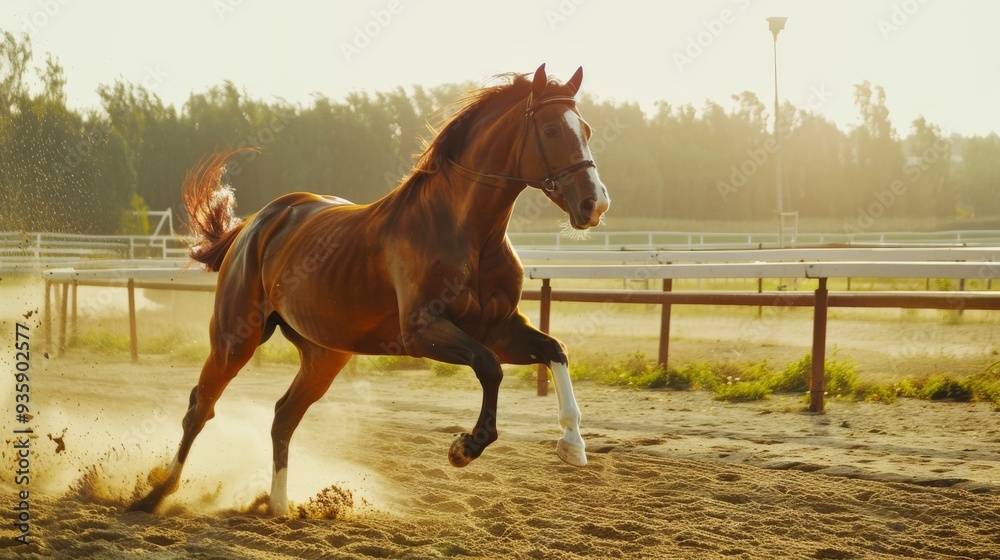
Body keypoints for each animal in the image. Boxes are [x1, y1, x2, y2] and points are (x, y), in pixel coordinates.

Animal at [129, 64, 610, 515]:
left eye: (586, 130)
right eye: (551, 130)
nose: (595, 204)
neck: (465, 232)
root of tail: (258, 222)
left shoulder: (499, 329)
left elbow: (554, 350)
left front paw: (573, 445)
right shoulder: (423, 332)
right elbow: (490, 368)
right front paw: (464, 447)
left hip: (324, 355)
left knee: (283, 416)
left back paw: (279, 505)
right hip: (235, 339)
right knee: (201, 407)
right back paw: (156, 494)